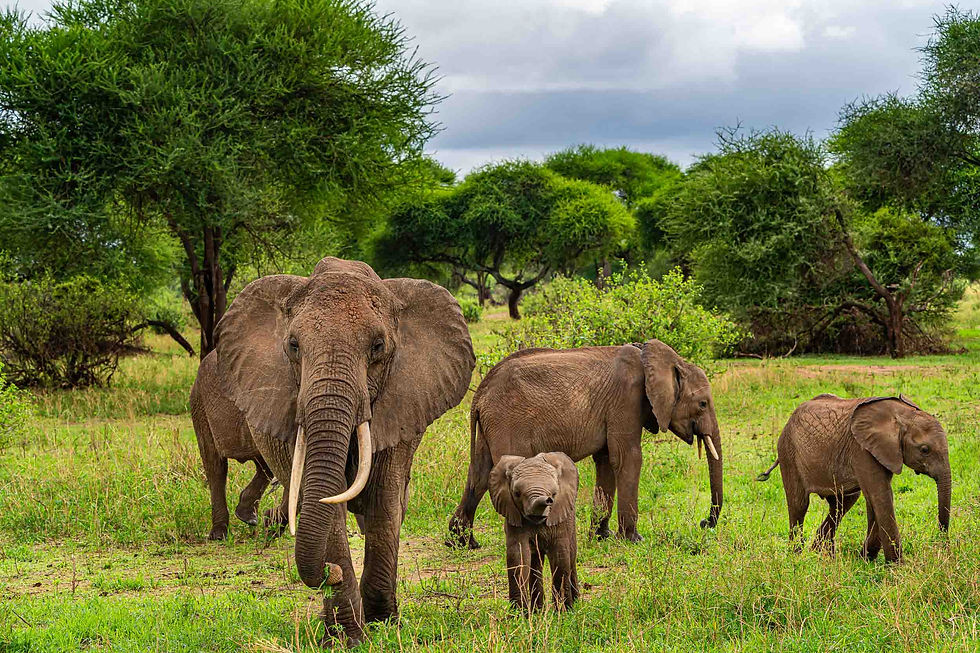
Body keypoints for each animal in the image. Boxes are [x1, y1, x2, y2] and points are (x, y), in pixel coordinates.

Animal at [190, 352, 287, 540]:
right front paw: (272, 526)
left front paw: (272, 524)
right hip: (199, 404)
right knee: (216, 466)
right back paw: (219, 534)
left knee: (264, 464)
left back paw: (248, 517)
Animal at [213, 257, 475, 644]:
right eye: (293, 345)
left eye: (378, 347)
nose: (329, 572)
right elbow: (325, 507)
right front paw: (347, 637)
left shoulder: (401, 401)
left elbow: (384, 499)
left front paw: (384, 623)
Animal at [448, 339, 723, 549]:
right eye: (703, 404)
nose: (704, 523)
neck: (656, 359)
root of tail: (479, 395)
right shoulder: (626, 399)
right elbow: (628, 458)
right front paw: (633, 540)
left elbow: (607, 462)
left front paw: (602, 537)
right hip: (507, 421)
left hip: (490, 426)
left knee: (480, 474)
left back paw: (463, 543)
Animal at [489, 452, 580, 612]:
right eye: (517, 493)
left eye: (554, 494)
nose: (548, 500)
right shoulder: (514, 517)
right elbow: (518, 557)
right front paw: (519, 614)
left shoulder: (560, 518)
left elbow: (560, 556)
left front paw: (563, 613)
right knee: (535, 562)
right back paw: (538, 611)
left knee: (571, 555)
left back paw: (573, 603)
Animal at [757, 394, 951, 562]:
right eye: (925, 450)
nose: (943, 543)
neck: (900, 415)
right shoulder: (862, 450)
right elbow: (880, 496)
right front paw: (896, 568)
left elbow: (875, 500)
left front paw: (866, 559)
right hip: (788, 453)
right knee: (799, 505)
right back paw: (796, 558)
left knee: (841, 505)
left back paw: (822, 557)